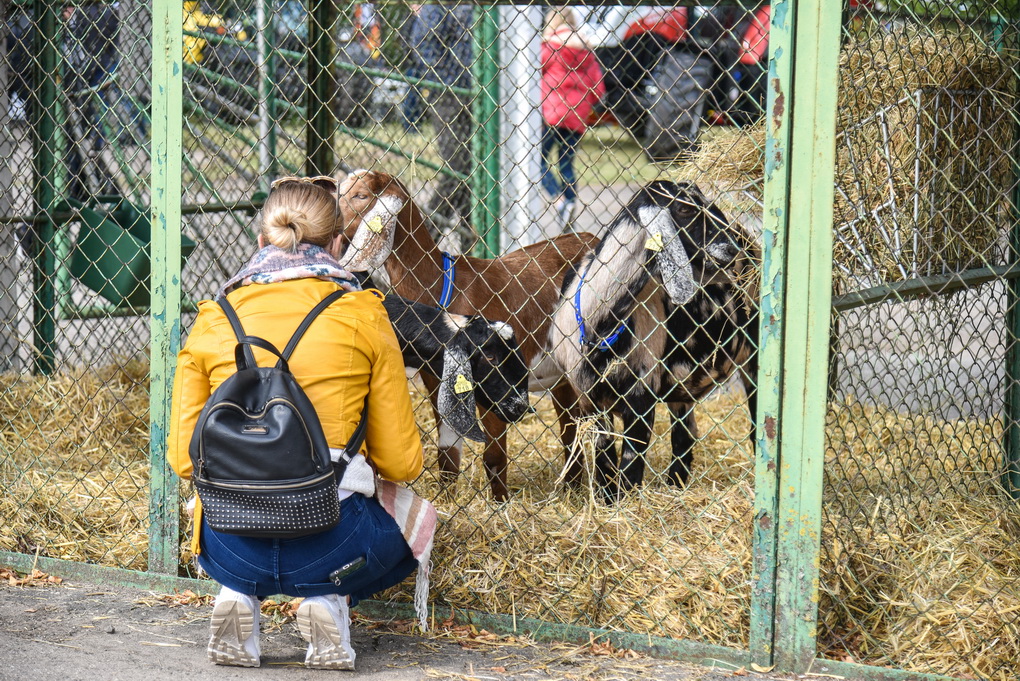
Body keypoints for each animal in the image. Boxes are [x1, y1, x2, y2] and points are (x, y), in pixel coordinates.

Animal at [334, 170, 595, 499]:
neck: (444, 288)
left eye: (360, 195)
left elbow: (494, 456)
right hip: (563, 374)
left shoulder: (497, 382)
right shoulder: (437, 383)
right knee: (571, 428)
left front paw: (500, 503)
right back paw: (572, 490)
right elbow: (447, 457)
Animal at [550, 180, 758, 499]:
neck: (599, 324)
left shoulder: (641, 397)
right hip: (680, 389)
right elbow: (605, 468)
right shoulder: (590, 402)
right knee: (684, 438)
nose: (732, 247)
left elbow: (630, 472)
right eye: (684, 208)